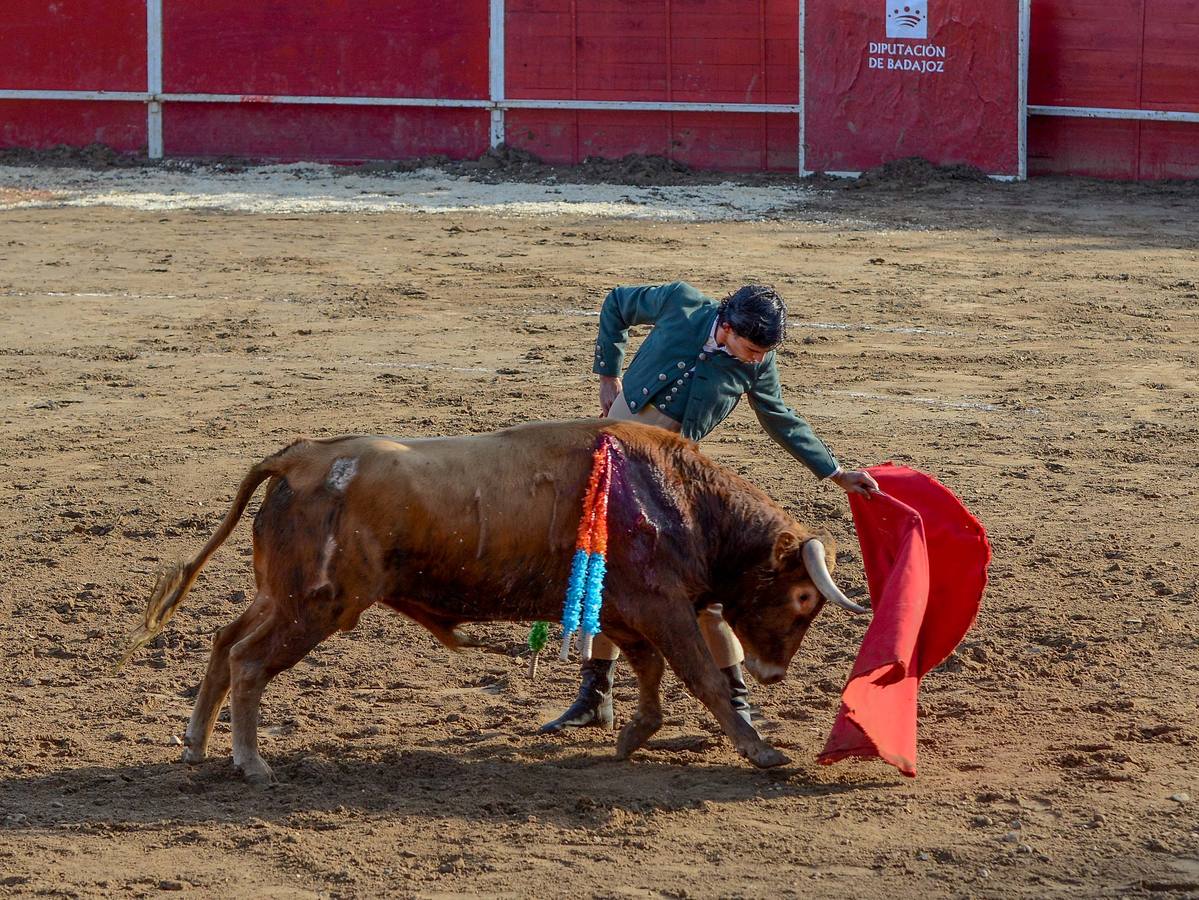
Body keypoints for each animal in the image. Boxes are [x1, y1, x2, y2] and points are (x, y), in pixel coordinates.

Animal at [121, 419, 868, 786]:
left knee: (223, 643)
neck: (674, 493)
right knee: (248, 662)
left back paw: (195, 745)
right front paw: (760, 751)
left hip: (280, 595)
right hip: (316, 607)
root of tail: (301, 457)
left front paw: (633, 732)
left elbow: (650, 672)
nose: (774, 674)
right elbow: (700, 676)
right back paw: (250, 762)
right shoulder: (660, 607)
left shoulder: (627, 612)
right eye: (803, 593)